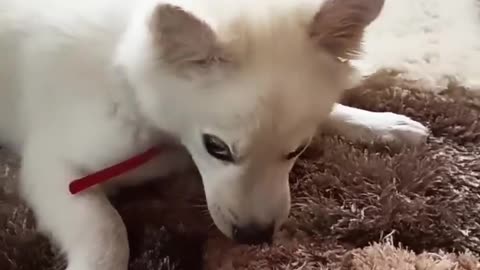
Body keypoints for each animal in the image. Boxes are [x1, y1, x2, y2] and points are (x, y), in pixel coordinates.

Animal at [0, 0, 428, 268]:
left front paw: (380, 124)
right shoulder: (51, 168)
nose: (254, 237)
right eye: (216, 148)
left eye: (297, 150)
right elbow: (108, 232)